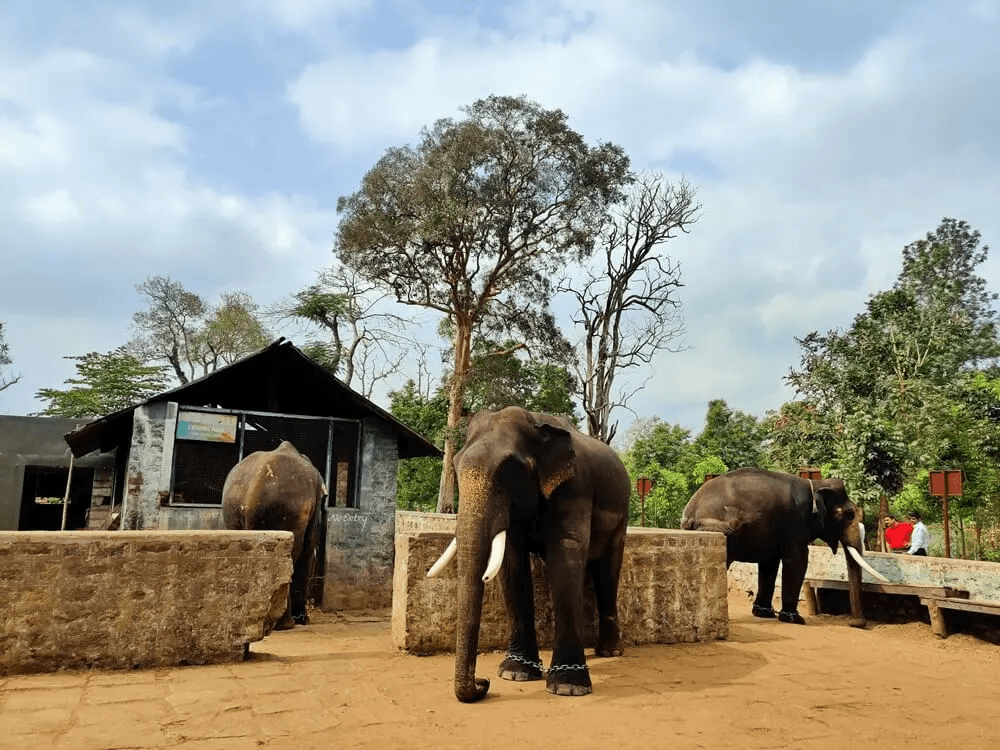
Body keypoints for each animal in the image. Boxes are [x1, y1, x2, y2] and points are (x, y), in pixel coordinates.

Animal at [222, 441, 327, 630]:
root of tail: (252, 497)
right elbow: (308, 549)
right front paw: (303, 619)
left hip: (232, 508)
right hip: (285, 509)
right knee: (291, 555)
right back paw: (285, 623)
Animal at [427, 406, 631, 702]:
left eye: (511, 469)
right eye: (455, 463)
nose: (483, 682)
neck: (536, 424)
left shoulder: (575, 487)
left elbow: (566, 555)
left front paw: (568, 687)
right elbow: (512, 564)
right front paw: (515, 673)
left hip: (622, 514)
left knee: (608, 571)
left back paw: (610, 652)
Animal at [680, 467, 887, 628]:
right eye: (850, 514)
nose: (857, 623)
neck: (815, 484)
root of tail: (690, 511)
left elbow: (769, 564)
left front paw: (764, 613)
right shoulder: (796, 522)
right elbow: (798, 560)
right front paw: (795, 619)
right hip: (718, 529)